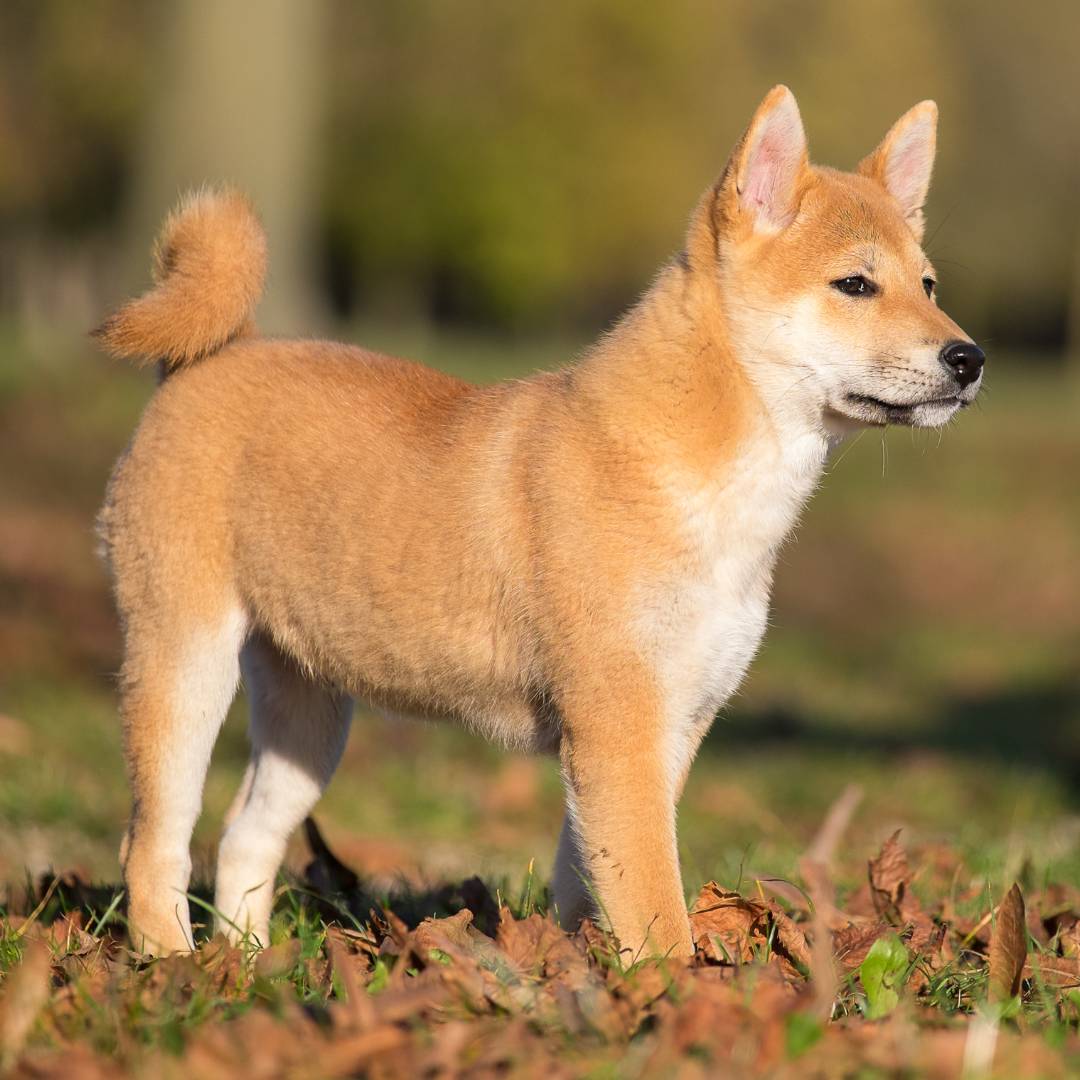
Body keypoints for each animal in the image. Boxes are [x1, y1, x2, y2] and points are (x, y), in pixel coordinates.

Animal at [95, 88, 989, 959]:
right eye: (856, 285)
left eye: (929, 284)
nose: (969, 359)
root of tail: (212, 358)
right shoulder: (619, 727)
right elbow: (655, 901)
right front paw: (676, 990)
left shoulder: (671, 725)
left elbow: (590, 881)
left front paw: (582, 975)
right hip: (185, 664)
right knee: (154, 844)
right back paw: (174, 965)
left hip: (307, 715)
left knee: (243, 838)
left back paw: (247, 966)